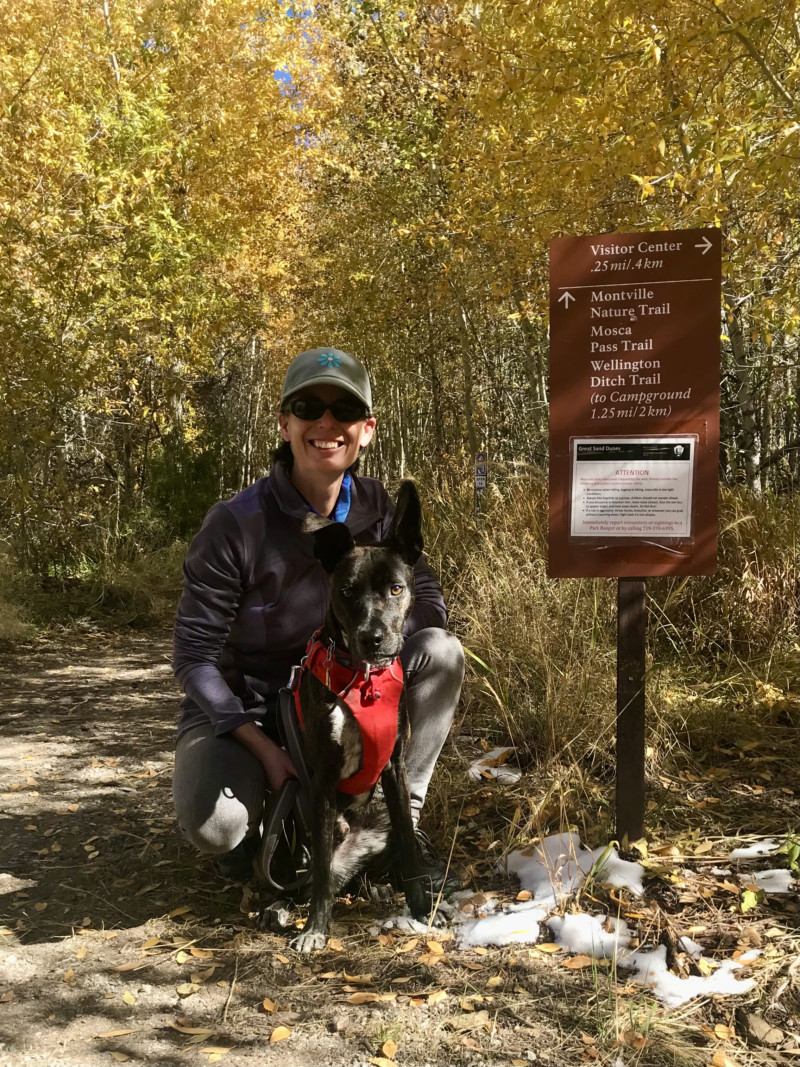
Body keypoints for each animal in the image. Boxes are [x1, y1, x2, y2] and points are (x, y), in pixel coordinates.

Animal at [285, 480, 441, 956]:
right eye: (347, 591)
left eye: (396, 588)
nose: (373, 638)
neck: (362, 680)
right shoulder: (322, 779)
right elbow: (319, 870)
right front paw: (316, 928)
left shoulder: (394, 769)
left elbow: (409, 848)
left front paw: (420, 907)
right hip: (311, 814)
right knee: (319, 872)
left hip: (384, 816)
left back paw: (382, 886)